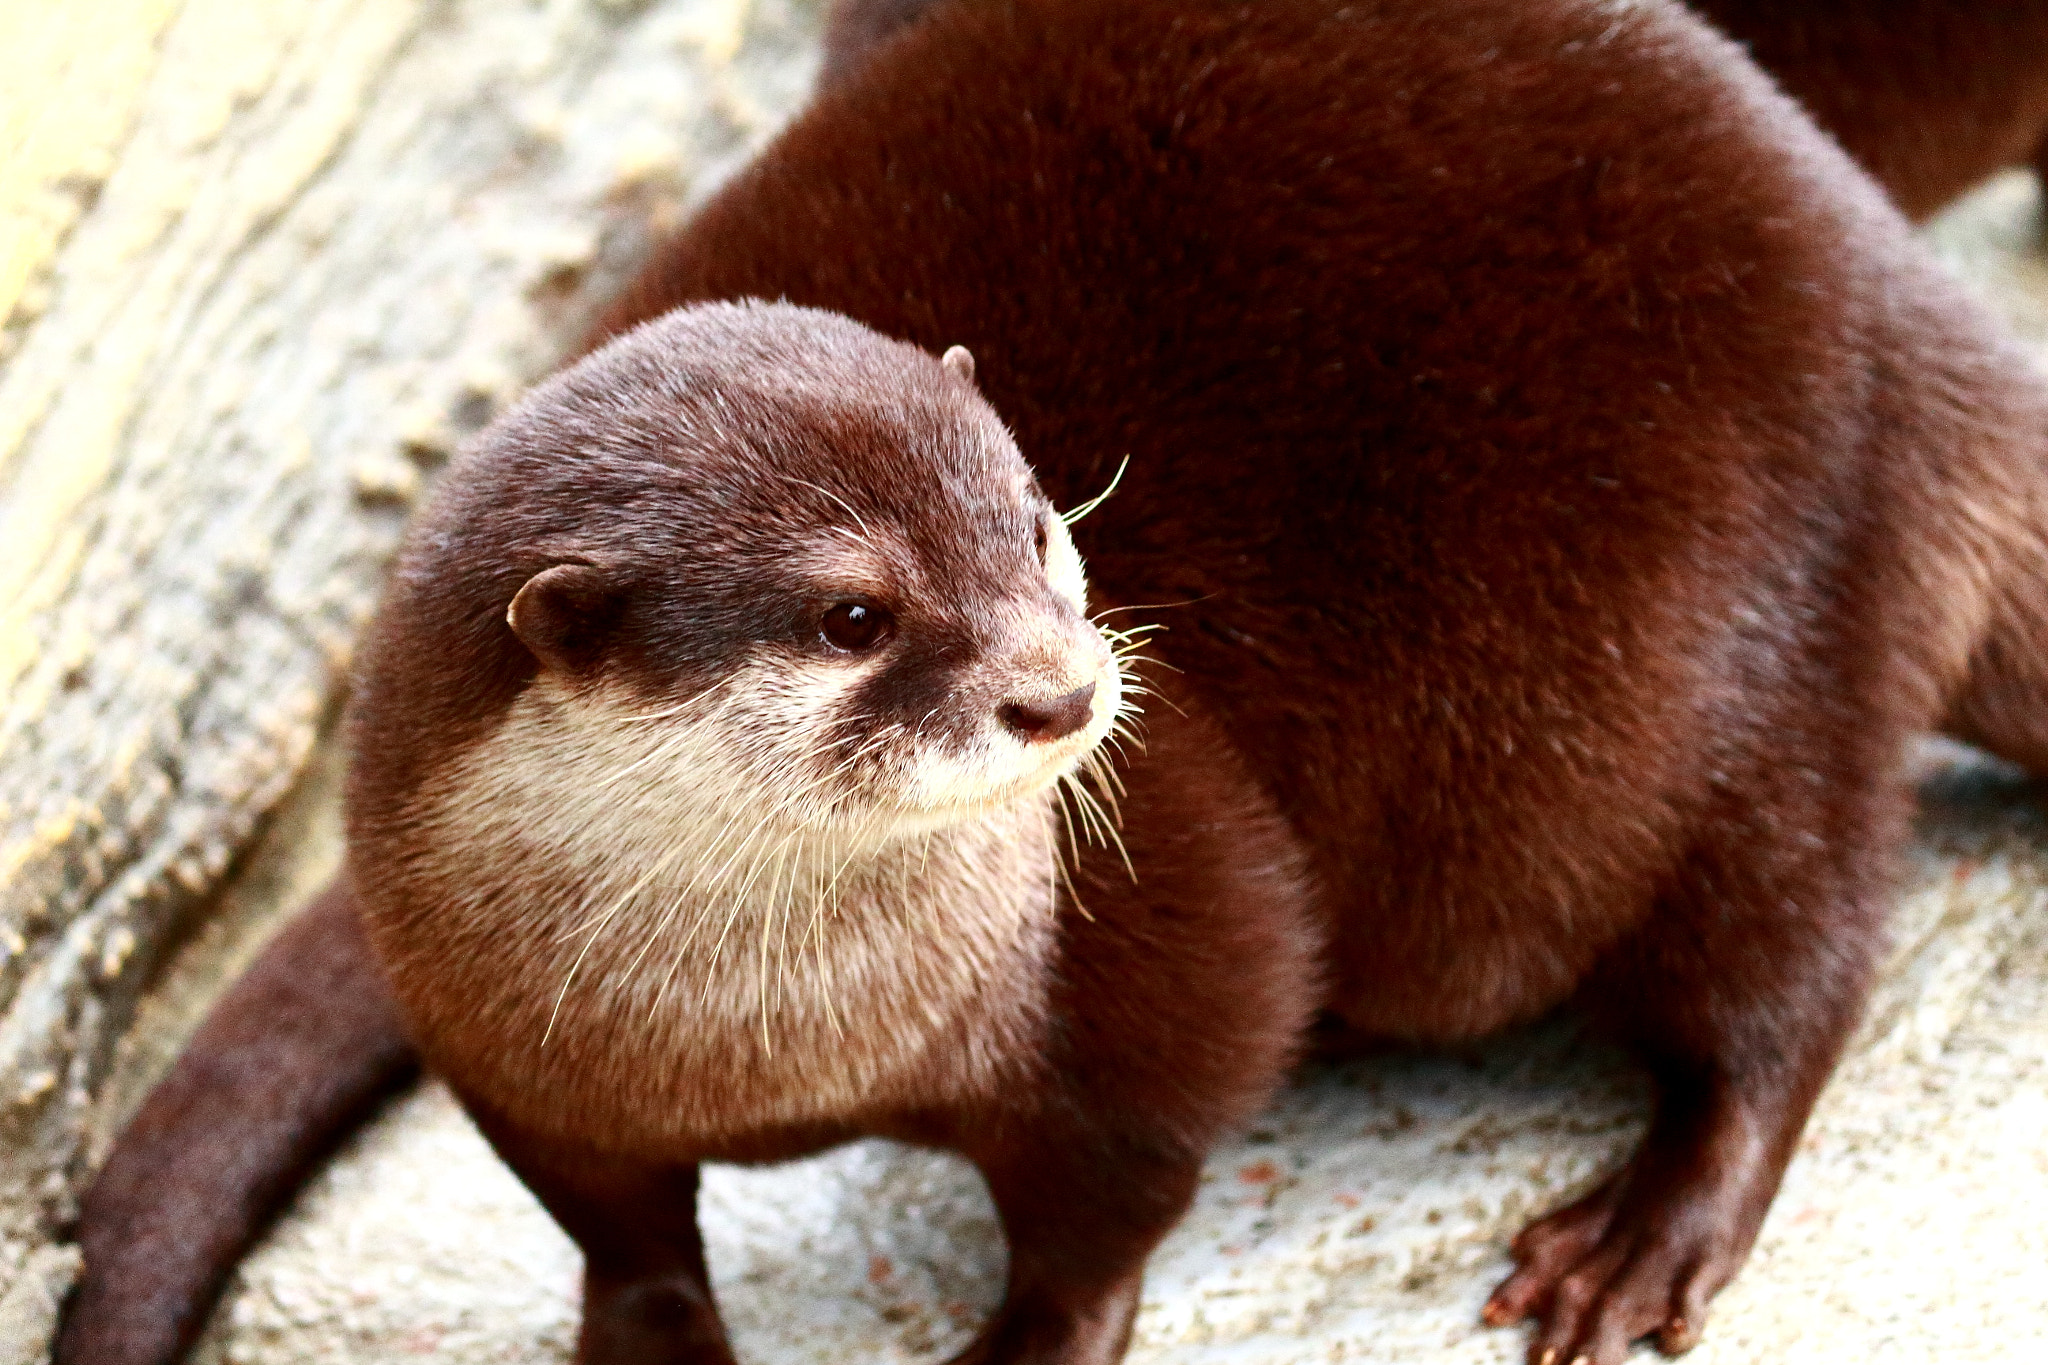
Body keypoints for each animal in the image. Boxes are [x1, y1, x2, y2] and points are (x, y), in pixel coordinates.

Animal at [58, 3, 2048, 1365]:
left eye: (1029, 520)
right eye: (853, 615)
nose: (1063, 692)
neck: (756, 1039)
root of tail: (1912, 322)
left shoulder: (1165, 957)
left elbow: (1123, 1179)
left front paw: (1028, 1339)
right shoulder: (492, 1023)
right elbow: (608, 1218)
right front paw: (644, 1334)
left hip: (1752, 652)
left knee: (1790, 960)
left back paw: (1646, 1230)